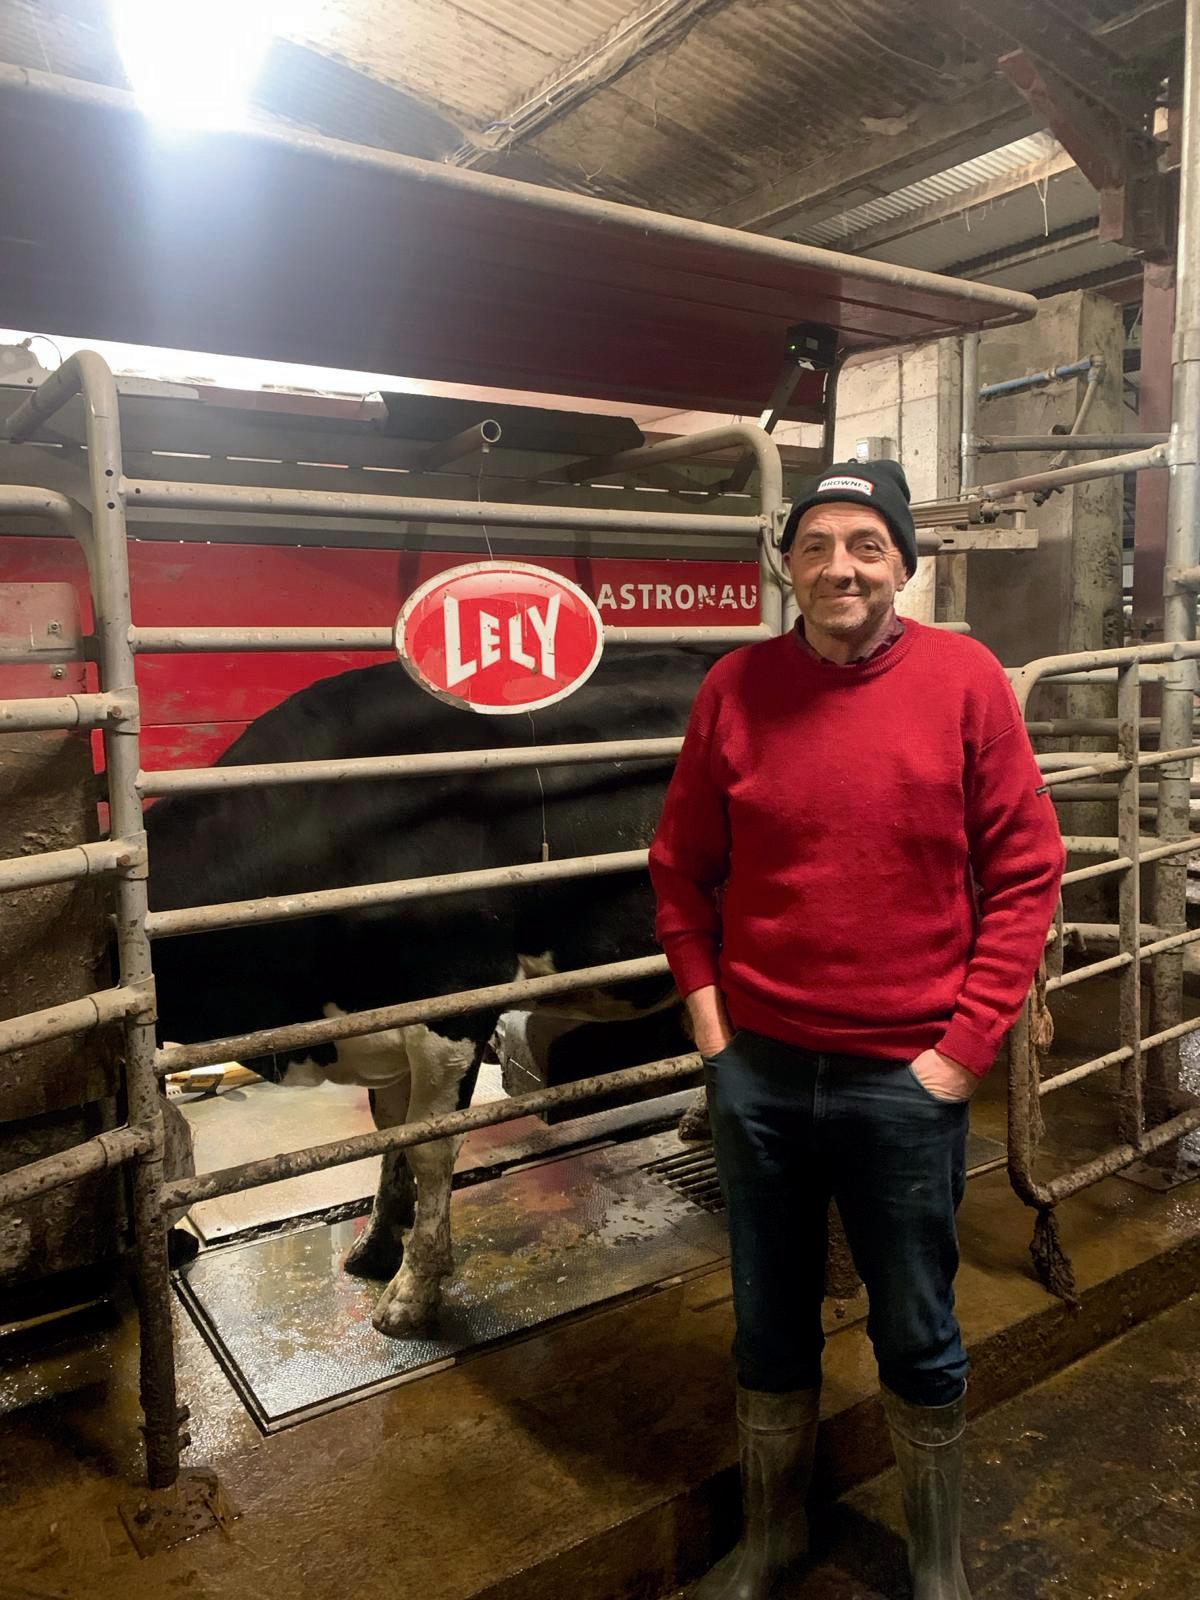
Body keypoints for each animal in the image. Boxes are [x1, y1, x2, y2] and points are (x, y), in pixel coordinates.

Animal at [146, 646, 717, 1337]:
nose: (179, 1247)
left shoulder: (453, 1004)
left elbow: (428, 1148)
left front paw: (413, 1292)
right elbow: (390, 1135)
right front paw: (374, 1248)